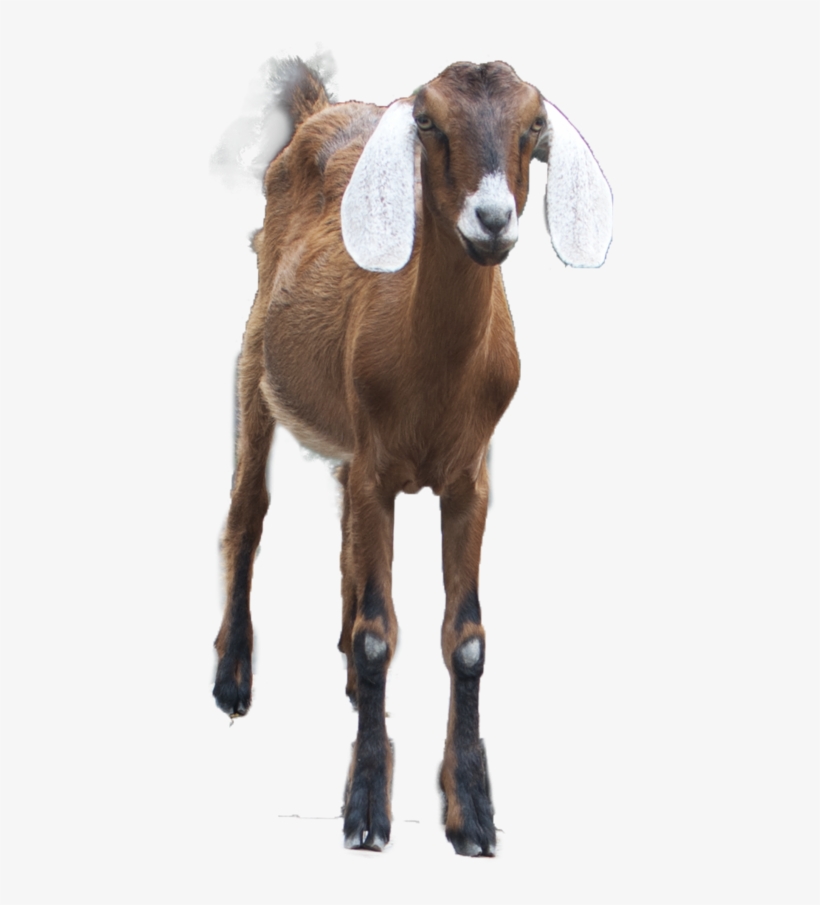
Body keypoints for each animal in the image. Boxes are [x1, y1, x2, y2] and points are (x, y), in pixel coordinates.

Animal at [213, 57, 612, 856]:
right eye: (429, 122)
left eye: (532, 127)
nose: (491, 220)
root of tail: (321, 108)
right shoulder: (378, 468)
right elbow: (378, 636)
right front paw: (367, 809)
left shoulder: (469, 480)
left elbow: (467, 640)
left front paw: (474, 813)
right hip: (255, 356)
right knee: (248, 512)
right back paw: (233, 678)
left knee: (341, 530)